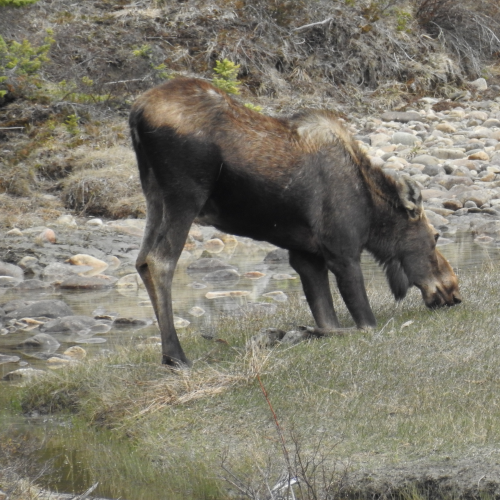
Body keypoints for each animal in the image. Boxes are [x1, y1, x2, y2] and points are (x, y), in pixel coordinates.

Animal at [129, 79, 460, 368]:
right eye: (435, 235)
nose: (453, 290)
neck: (372, 216)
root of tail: (137, 112)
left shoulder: (307, 257)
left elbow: (329, 322)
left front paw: (292, 332)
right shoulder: (342, 252)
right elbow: (366, 325)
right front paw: (293, 331)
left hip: (154, 195)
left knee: (142, 259)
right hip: (184, 195)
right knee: (160, 261)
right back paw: (176, 357)